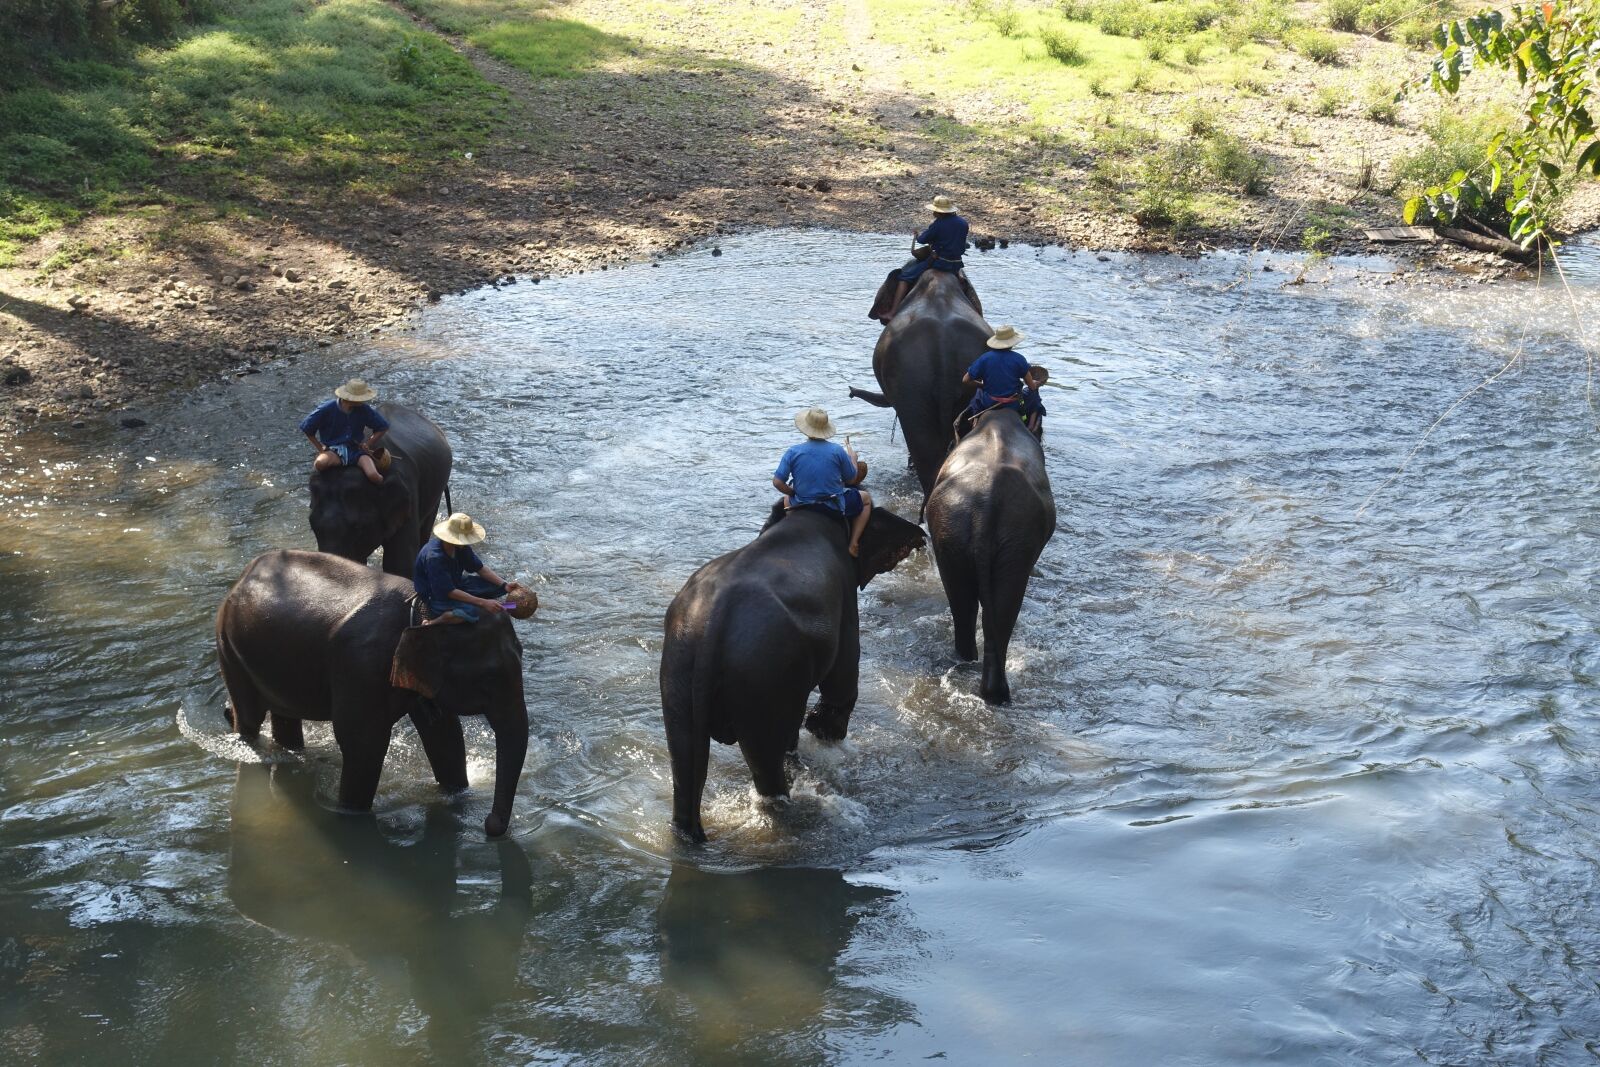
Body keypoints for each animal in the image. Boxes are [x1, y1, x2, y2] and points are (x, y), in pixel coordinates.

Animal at [215, 549, 529, 836]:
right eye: (490, 676)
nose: (490, 825)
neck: (421, 608)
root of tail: (244, 574)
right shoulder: (361, 668)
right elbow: (364, 744)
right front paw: (351, 817)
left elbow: (445, 735)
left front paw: (459, 798)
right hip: (228, 646)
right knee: (249, 717)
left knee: (283, 716)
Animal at [660, 502, 926, 843]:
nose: (922, 538)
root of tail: (711, 627)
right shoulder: (845, 596)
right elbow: (843, 672)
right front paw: (825, 735)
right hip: (762, 676)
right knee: (766, 762)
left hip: (678, 667)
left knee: (685, 759)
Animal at [925, 408, 1056, 704]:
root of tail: (985, 510)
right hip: (1016, 542)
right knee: (1003, 609)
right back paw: (998, 692)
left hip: (950, 535)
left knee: (966, 604)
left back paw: (971, 667)